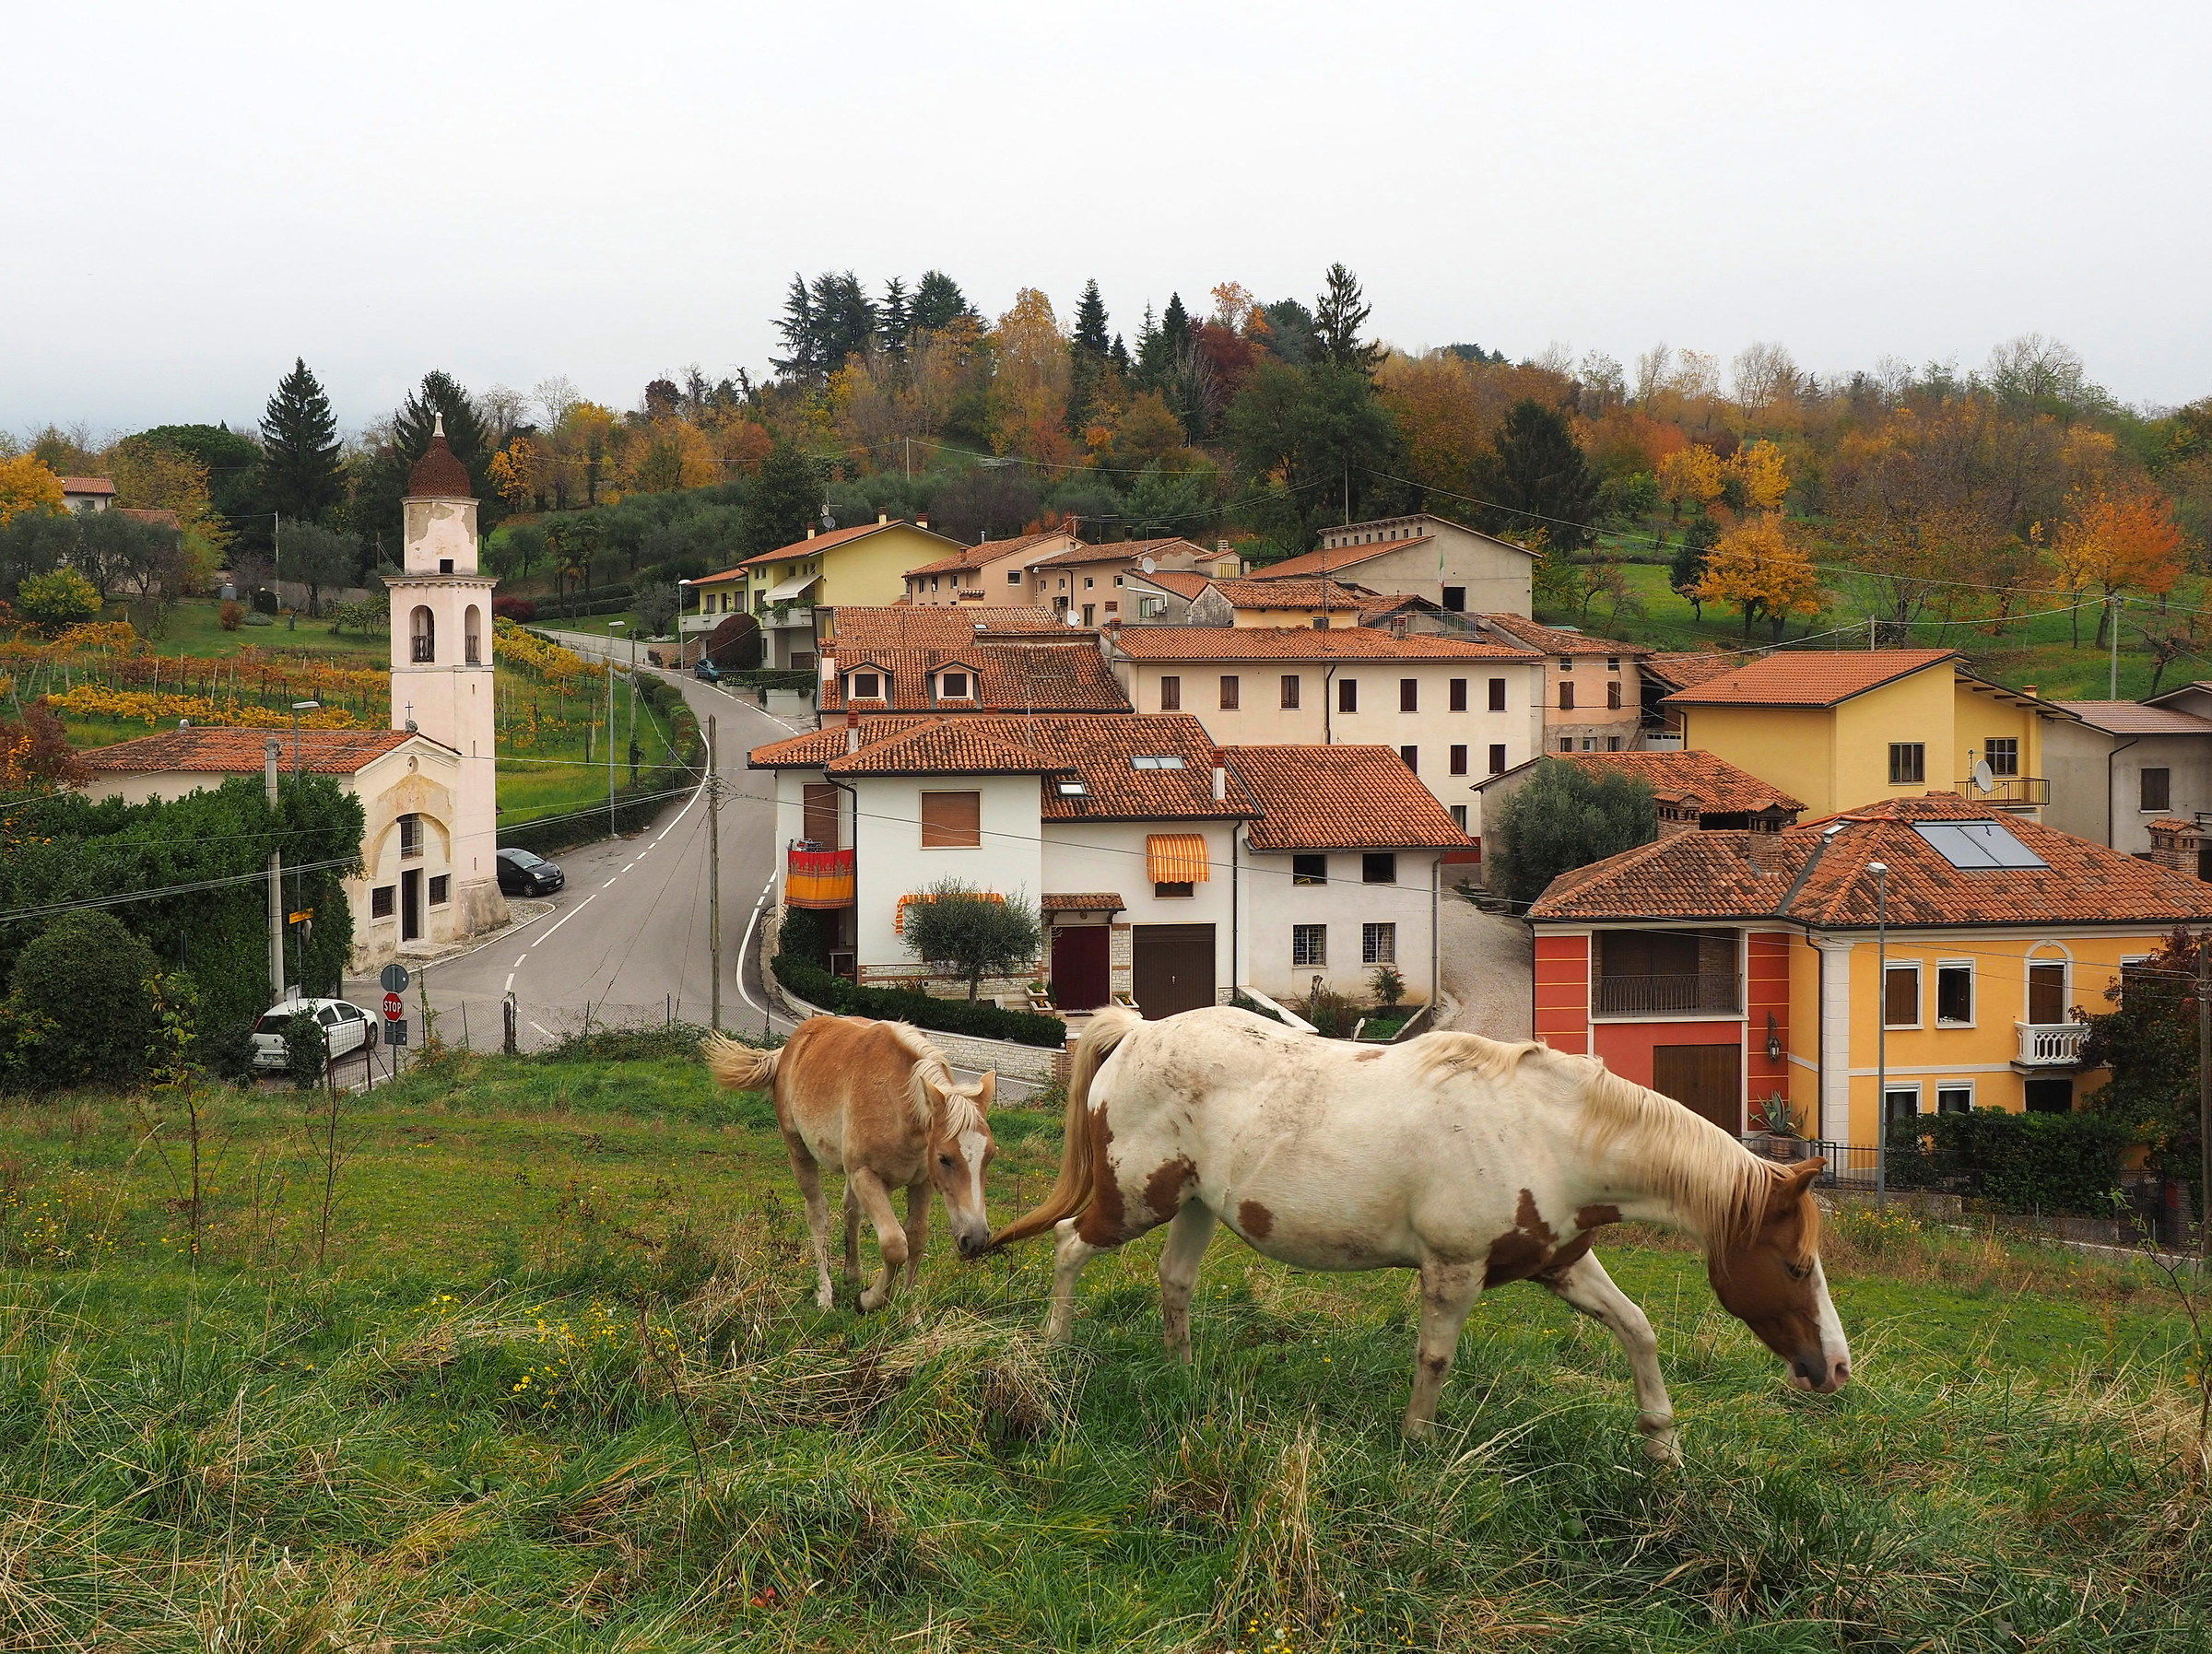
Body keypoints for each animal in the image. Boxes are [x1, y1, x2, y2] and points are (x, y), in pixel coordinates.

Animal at [708, 1013, 995, 1308]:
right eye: (944, 1158)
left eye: (990, 1155)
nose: (976, 1238)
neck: (896, 1102)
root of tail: (789, 1048)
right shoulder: (865, 1175)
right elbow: (894, 1244)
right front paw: (869, 1299)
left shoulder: (922, 1182)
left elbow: (916, 1238)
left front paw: (910, 1311)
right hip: (799, 1151)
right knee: (818, 1212)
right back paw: (825, 1294)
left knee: (851, 1211)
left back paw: (852, 1276)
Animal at [991, 999, 1849, 1450]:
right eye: (1797, 1265)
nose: (1835, 1370)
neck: (1547, 1133)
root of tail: (1139, 1031)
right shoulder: (1454, 1269)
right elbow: (1435, 1357)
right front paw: (1417, 1444)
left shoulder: (1561, 1261)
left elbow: (1636, 1328)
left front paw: (1662, 1442)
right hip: (1136, 1199)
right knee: (1070, 1245)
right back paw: (1054, 1352)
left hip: (1195, 1205)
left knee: (1174, 1282)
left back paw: (1183, 1373)